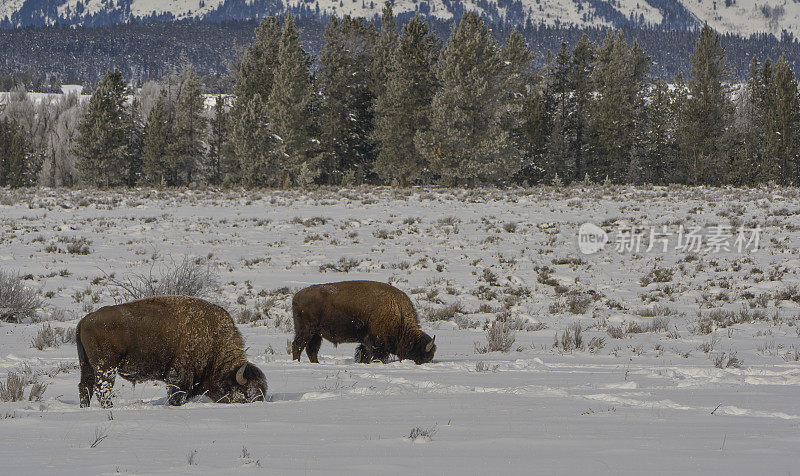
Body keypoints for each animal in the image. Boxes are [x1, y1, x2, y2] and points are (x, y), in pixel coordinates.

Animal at [76, 296, 268, 408]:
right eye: (245, 394)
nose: (258, 402)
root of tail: (85, 320)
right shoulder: (179, 375)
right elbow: (177, 394)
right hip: (106, 367)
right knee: (102, 389)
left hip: (86, 365)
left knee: (85, 386)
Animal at [290, 282, 434, 364]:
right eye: (421, 355)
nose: (423, 363)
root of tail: (297, 296)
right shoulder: (377, 343)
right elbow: (377, 356)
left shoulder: (366, 341)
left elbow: (363, 354)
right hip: (307, 330)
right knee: (298, 345)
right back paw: (297, 362)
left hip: (316, 334)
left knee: (311, 350)